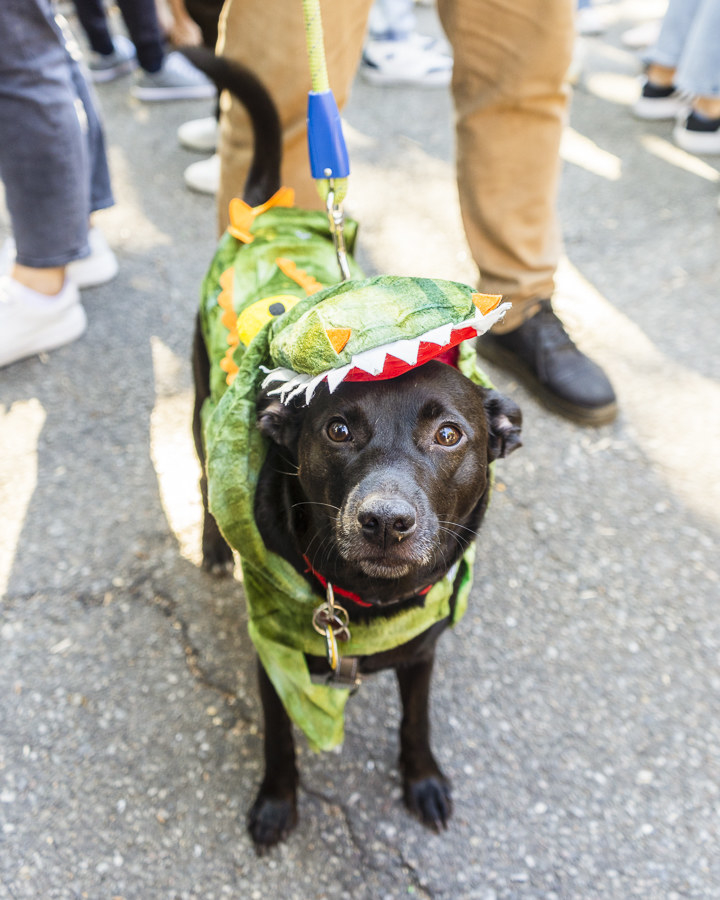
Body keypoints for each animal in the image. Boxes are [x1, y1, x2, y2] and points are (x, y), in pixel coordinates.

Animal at [186, 49, 524, 852]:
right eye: (338, 429)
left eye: (449, 433)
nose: (385, 521)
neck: (365, 602)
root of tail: (264, 214)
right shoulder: (273, 654)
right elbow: (280, 738)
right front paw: (276, 802)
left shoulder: (424, 651)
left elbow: (416, 720)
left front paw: (422, 780)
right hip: (198, 397)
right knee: (202, 478)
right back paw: (213, 547)